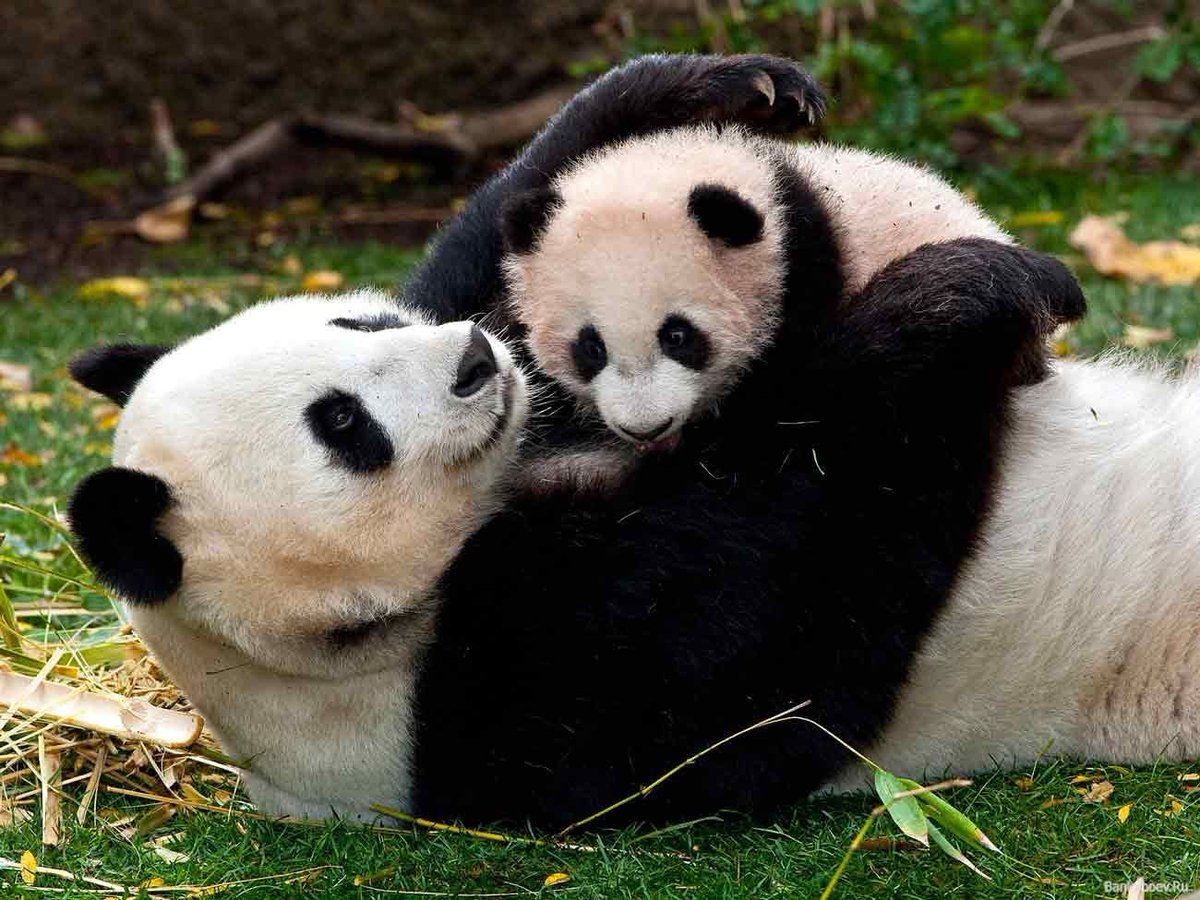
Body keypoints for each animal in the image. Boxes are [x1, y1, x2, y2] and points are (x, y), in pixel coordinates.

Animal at [67, 235, 1082, 826]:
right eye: (343, 424)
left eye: (356, 319)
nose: (476, 359)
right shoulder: (495, 707)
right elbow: (793, 602)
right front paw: (963, 291)